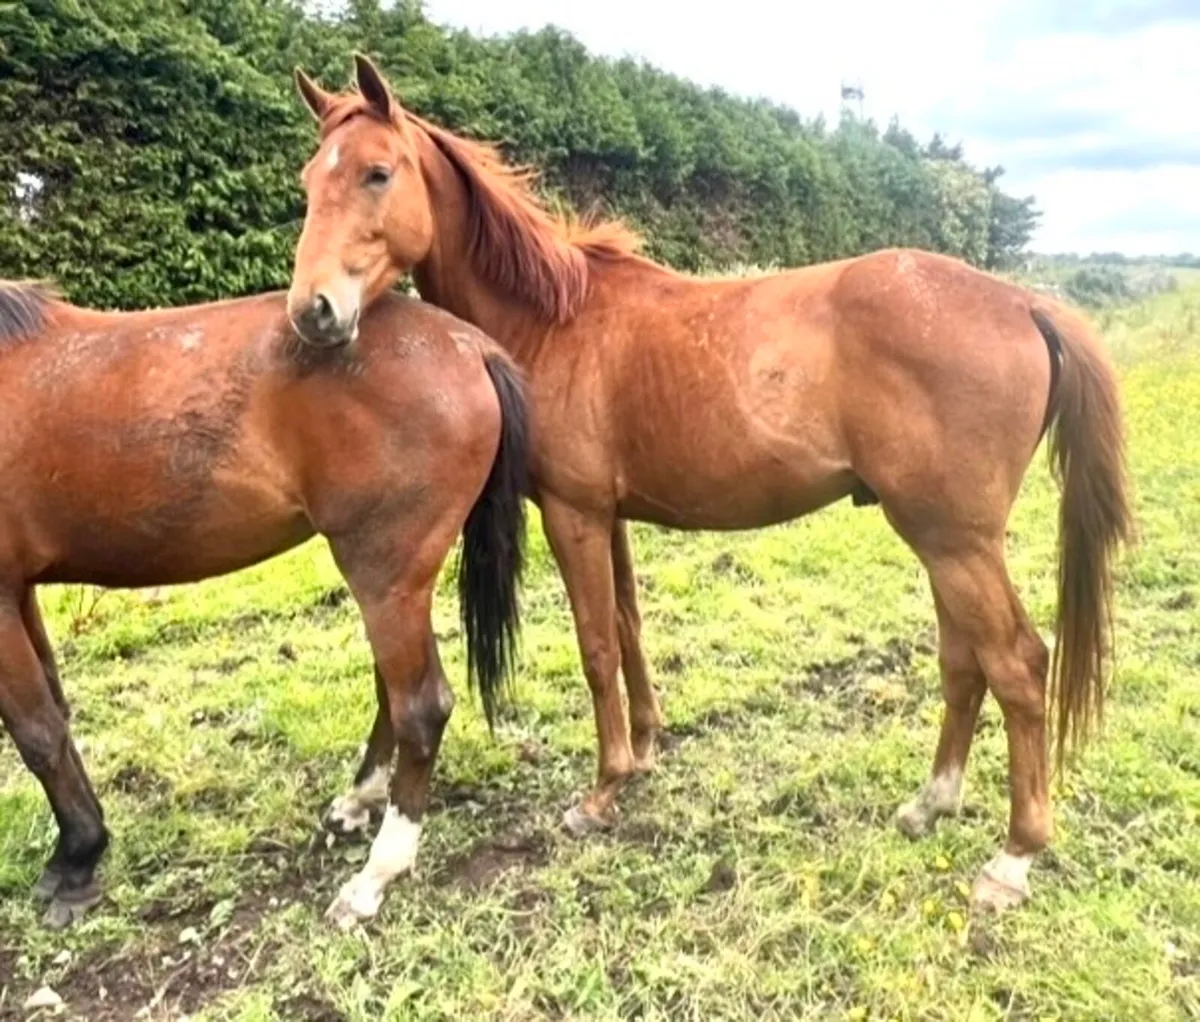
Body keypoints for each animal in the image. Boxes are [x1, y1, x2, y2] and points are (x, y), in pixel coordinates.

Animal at [0, 279, 529, 930]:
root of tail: (471, 346)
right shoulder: (20, 589)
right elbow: (56, 710)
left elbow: (37, 732)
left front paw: (76, 857)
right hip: (395, 584)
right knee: (395, 694)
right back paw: (358, 802)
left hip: (385, 578)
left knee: (421, 708)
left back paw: (375, 876)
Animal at [284, 55, 1132, 913]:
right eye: (309, 180)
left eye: (378, 172)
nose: (312, 312)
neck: (556, 321)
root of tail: (1023, 301)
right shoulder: (611, 515)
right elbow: (628, 628)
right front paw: (645, 751)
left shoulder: (574, 513)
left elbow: (595, 644)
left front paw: (602, 791)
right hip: (945, 541)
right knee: (966, 662)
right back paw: (931, 803)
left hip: (954, 541)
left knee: (1018, 664)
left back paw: (1013, 857)